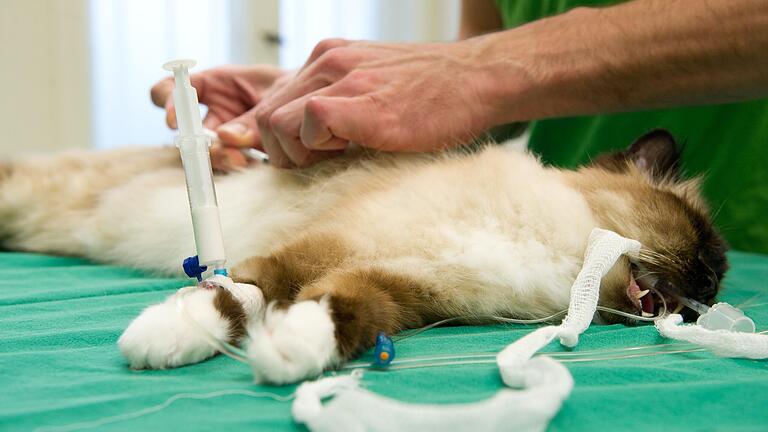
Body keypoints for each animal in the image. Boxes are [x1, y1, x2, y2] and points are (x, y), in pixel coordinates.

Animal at [0, 130, 728, 384]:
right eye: (699, 247)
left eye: (715, 273)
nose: (710, 295)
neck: (551, 249)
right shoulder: (326, 244)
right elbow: (235, 295)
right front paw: (161, 341)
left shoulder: (395, 288)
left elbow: (338, 312)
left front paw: (286, 350)